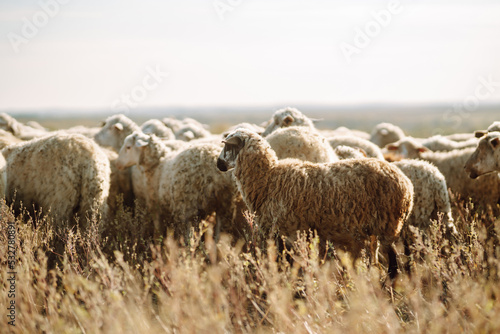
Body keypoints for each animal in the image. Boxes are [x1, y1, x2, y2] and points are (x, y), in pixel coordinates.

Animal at [217, 129, 412, 278]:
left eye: (228, 145)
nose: (218, 164)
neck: (268, 178)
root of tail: (407, 184)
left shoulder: (288, 230)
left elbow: (287, 262)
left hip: (389, 225)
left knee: (394, 264)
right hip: (376, 230)